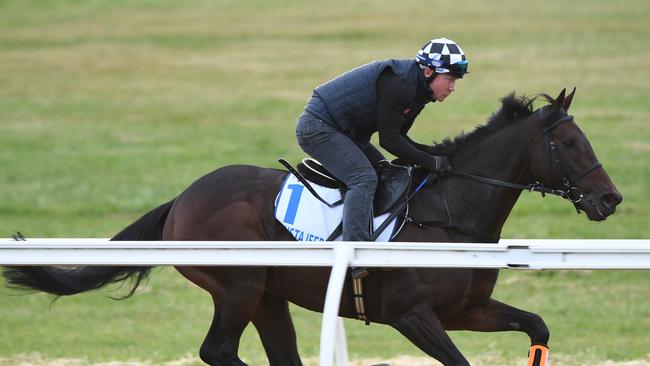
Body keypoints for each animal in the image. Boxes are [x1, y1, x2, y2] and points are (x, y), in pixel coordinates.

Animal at [2, 87, 620, 364]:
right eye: (569, 143)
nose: (610, 198)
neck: (450, 216)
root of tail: (183, 197)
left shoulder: (466, 310)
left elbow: (537, 326)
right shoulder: (411, 314)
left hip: (267, 296)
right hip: (239, 285)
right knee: (218, 351)